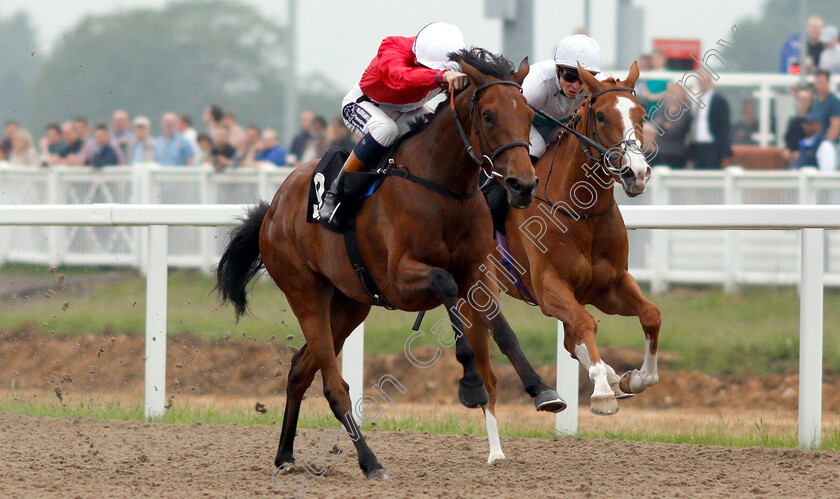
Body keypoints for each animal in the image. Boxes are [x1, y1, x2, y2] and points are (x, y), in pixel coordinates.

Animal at [213, 49, 556, 480]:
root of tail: (273, 208)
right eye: (489, 115)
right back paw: (370, 461)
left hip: (349, 305)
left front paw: (542, 389)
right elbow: (444, 283)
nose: (522, 185)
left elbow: (504, 330)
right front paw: (471, 384)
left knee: (300, 369)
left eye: (528, 114)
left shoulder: (478, 269)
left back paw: (286, 455)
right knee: (334, 386)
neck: (443, 188)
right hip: (306, 295)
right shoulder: (400, 279)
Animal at [476, 61, 668, 454]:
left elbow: (651, 315)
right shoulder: (549, 287)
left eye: (641, 113)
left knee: (570, 341)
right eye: (601, 115)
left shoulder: (610, 285)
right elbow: (585, 323)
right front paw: (602, 392)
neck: (582, 213)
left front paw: (636, 378)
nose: (637, 173)